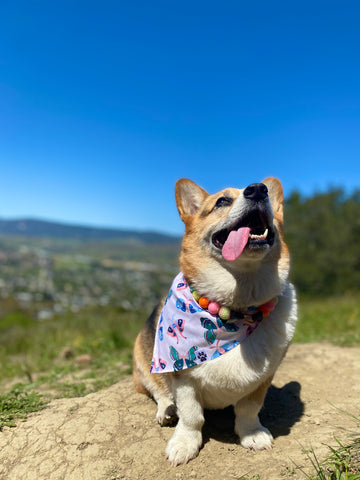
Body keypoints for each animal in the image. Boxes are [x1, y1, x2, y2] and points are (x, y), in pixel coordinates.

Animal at [134, 176, 296, 464]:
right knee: (159, 391)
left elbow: (249, 409)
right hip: (144, 360)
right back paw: (167, 410)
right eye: (222, 201)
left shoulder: (263, 378)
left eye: (265, 192)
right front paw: (184, 444)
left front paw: (252, 434)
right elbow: (191, 416)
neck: (236, 306)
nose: (259, 190)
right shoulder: (183, 378)